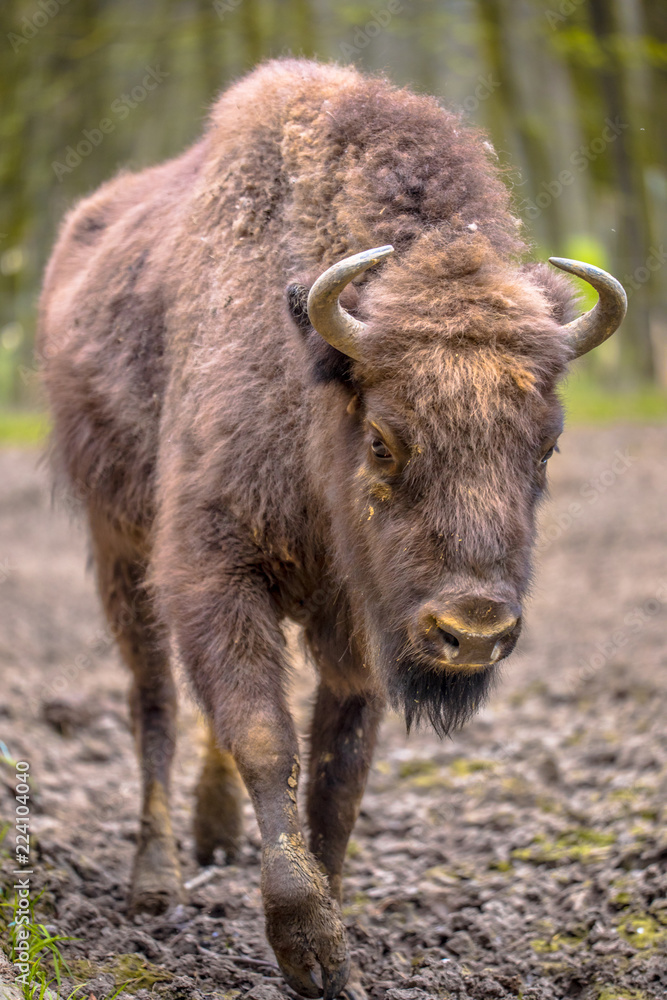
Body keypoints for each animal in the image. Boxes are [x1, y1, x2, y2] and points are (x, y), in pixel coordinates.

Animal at [39, 58, 628, 996]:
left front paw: (332, 918)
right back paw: (154, 880)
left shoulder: (359, 615)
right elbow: (264, 737)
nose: (473, 631)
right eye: (383, 439)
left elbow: (339, 758)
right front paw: (306, 945)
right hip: (116, 544)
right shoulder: (212, 572)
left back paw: (212, 834)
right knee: (154, 700)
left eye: (546, 444)